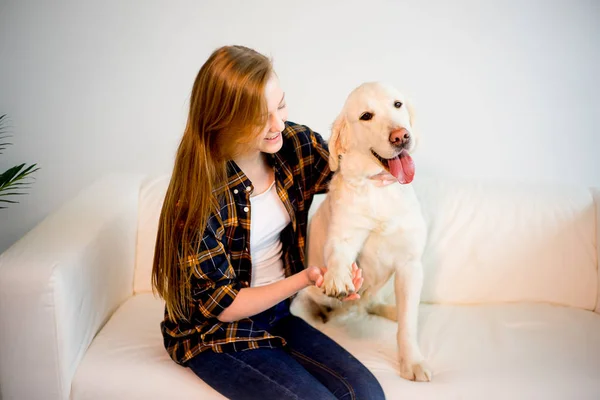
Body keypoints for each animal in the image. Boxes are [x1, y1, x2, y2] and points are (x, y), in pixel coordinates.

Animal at [304, 80, 432, 382]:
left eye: (397, 104)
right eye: (366, 116)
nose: (401, 136)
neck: (379, 188)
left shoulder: (410, 265)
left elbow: (407, 326)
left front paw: (412, 361)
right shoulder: (343, 236)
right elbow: (338, 253)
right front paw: (338, 277)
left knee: (376, 302)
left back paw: (392, 310)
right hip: (308, 296)